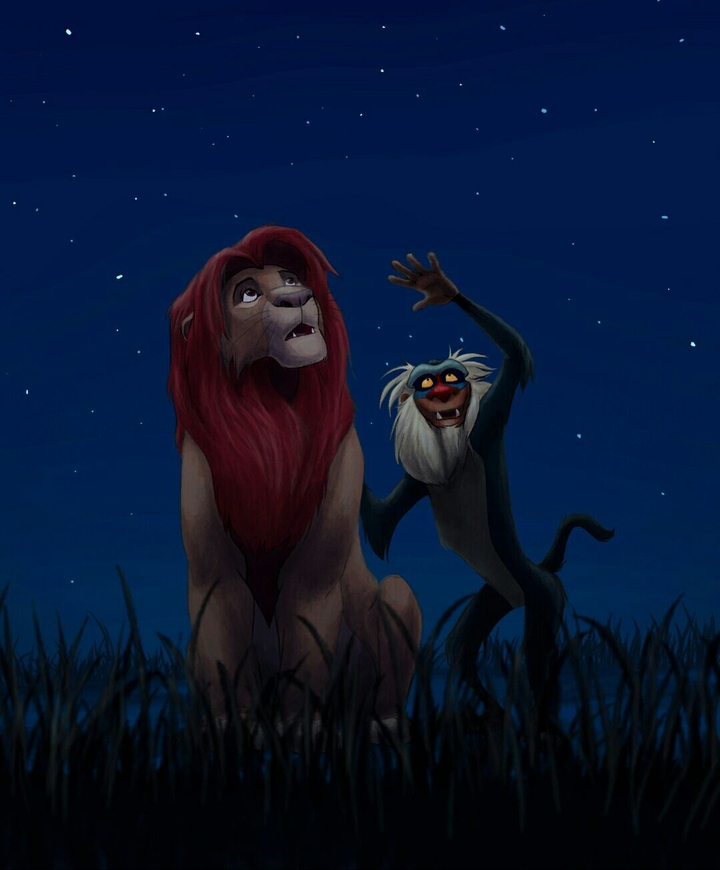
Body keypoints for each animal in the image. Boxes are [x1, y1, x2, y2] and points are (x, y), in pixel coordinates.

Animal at [167, 225, 422, 742]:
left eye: (288, 277)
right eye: (247, 292)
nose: (297, 297)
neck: (271, 394)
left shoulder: (338, 474)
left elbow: (306, 631)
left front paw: (301, 728)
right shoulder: (212, 567)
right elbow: (223, 636)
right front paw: (232, 726)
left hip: (396, 599)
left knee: (393, 605)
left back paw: (382, 723)